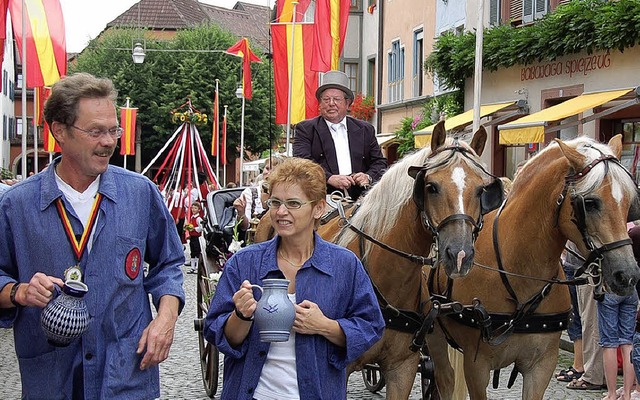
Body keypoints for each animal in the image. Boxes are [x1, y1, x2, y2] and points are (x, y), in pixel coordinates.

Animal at [428, 135, 640, 400]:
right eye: (590, 203)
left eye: (630, 203)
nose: (628, 275)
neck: (518, 273)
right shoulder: (476, 366)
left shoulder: (542, 366)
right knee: (444, 379)